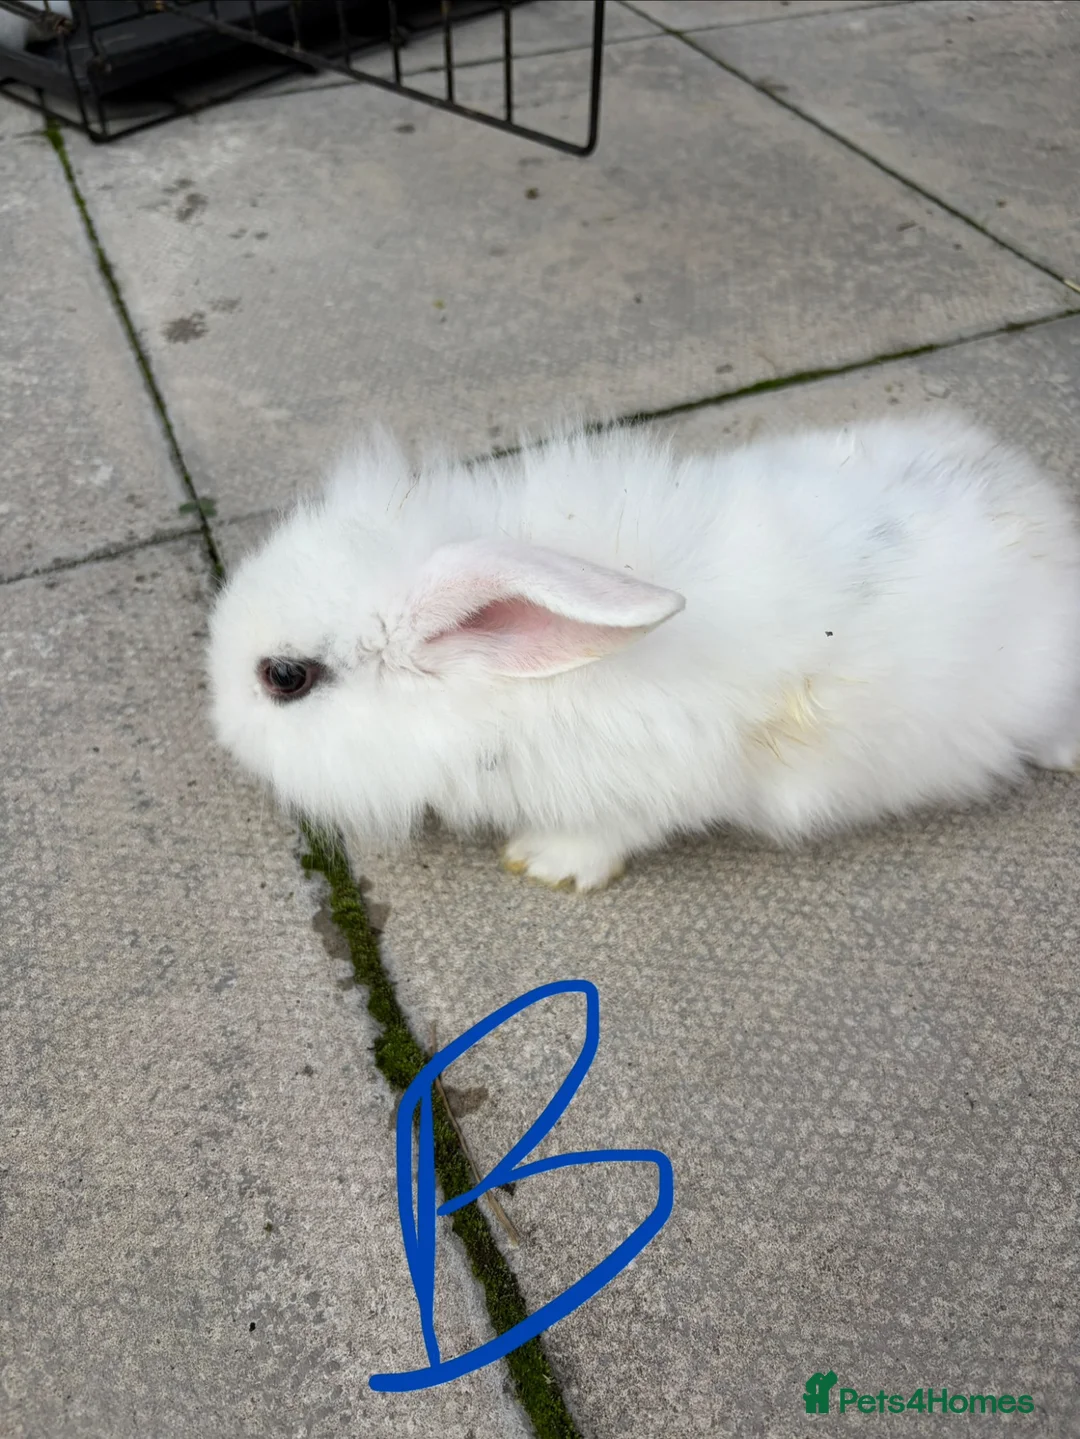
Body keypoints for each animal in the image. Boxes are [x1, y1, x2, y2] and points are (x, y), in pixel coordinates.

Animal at [207, 414, 1080, 891]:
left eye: (285, 677)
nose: (218, 723)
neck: (495, 690)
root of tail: (1041, 507)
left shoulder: (640, 787)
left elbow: (609, 833)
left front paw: (546, 864)